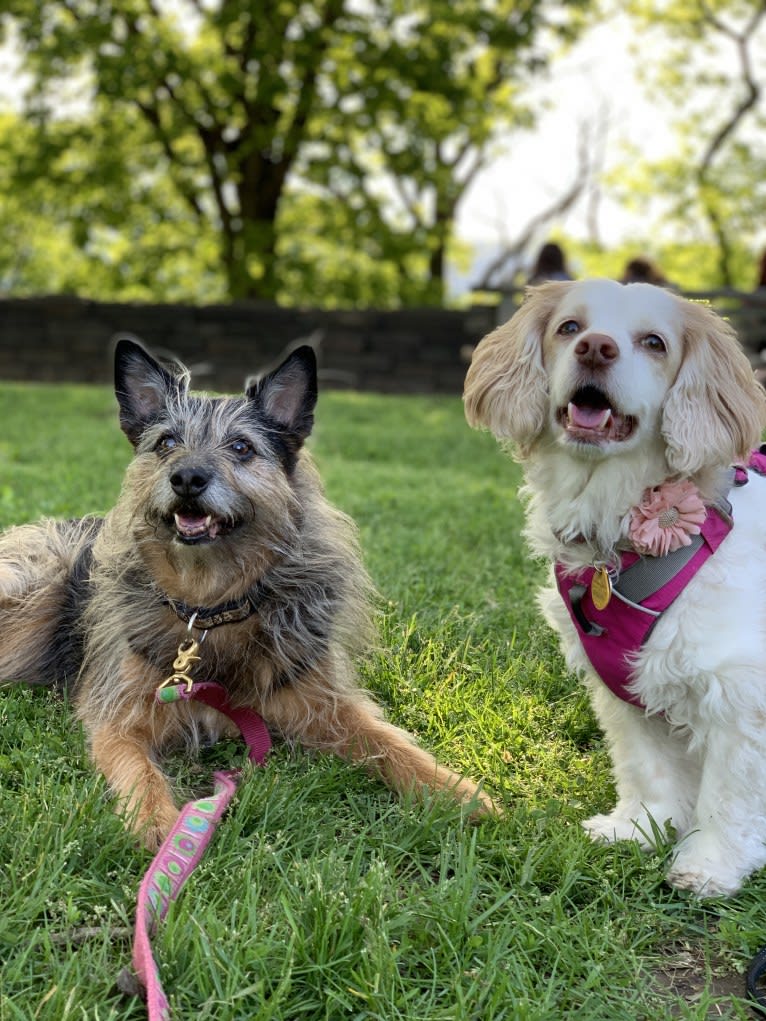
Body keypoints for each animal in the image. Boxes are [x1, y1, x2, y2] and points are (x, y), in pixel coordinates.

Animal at [0, 338, 494, 849]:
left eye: (241, 447)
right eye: (167, 443)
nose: (187, 478)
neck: (211, 606)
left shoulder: (322, 702)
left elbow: (387, 740)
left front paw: (455, 791)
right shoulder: (118, 717)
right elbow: (137, 771)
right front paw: (159, 825)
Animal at [465, 277, 766, 894]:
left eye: (654, 342)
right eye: (569, 328)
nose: (596, 348)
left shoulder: (740, 698)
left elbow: (729, 795)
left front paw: (709, 864)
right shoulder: (624, 687)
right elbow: (648, 769)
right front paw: (640, 828)